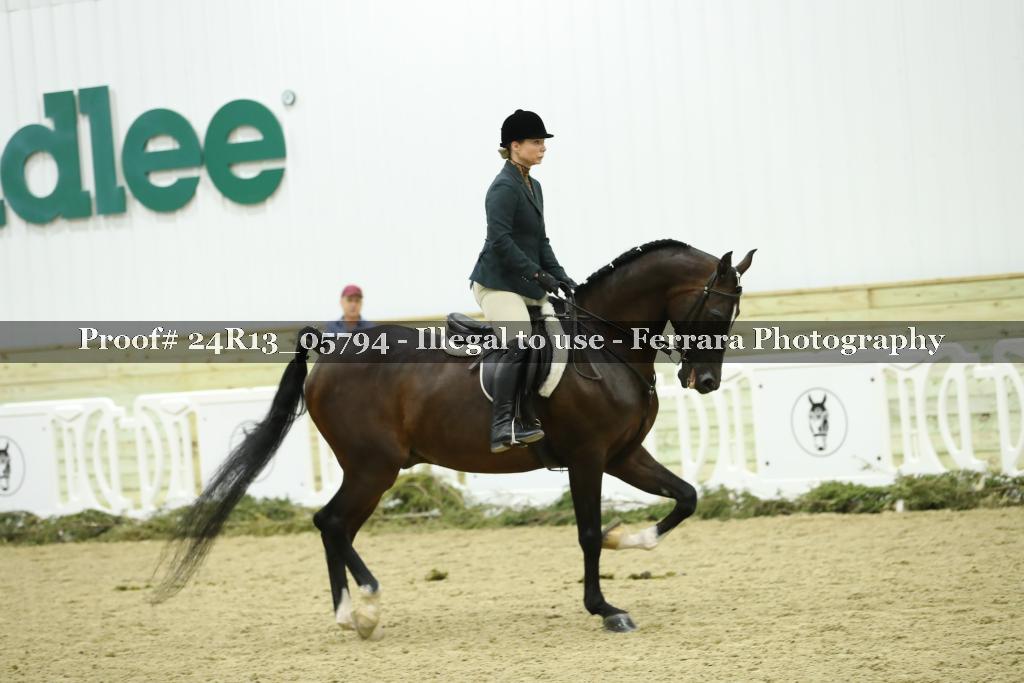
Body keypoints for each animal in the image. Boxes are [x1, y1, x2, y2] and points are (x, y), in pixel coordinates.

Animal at [151, 239, 755, 636]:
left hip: (374, 469)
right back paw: (365, 604)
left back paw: (352, 614)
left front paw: (629, 539)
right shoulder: (588, 457)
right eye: (716, 309)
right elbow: (586, 533)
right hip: (374, 467)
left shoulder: (624, 454)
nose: (704, 382)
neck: (605, 344)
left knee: (333, 525)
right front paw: (606, 608)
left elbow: (686, 497)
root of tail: (332, 349)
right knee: (332, 522)